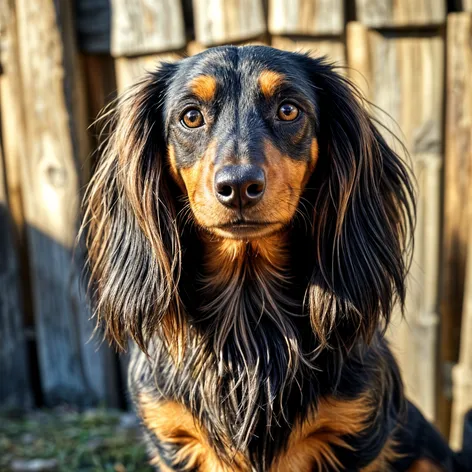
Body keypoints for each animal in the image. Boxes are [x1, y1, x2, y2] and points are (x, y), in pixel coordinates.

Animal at [83, 45, 466, 472]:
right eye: (191, 116)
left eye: (288, 110)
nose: (238, 186)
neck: (247, 314)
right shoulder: (172, 439)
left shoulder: (357, 432)